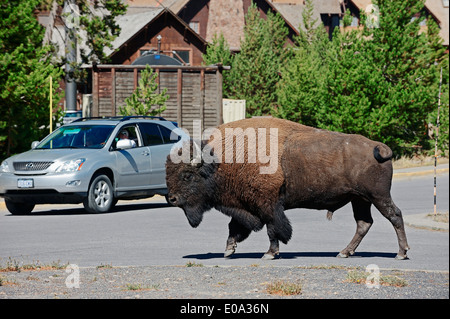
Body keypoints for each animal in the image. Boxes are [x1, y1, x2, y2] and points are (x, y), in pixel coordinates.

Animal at [166, 119, 412, 262]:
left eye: (187, 175)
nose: (172, 198)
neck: (220, 160)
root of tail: (377, 146)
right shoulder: (245, 205)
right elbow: (235, 227)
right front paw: (229, 250)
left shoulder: (268, 204)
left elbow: (273, 229)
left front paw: (269, 254)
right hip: (359, 199)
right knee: (364, 223)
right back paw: (344, 252)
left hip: (377, 196)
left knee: (395, 215)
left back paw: (401, 253)